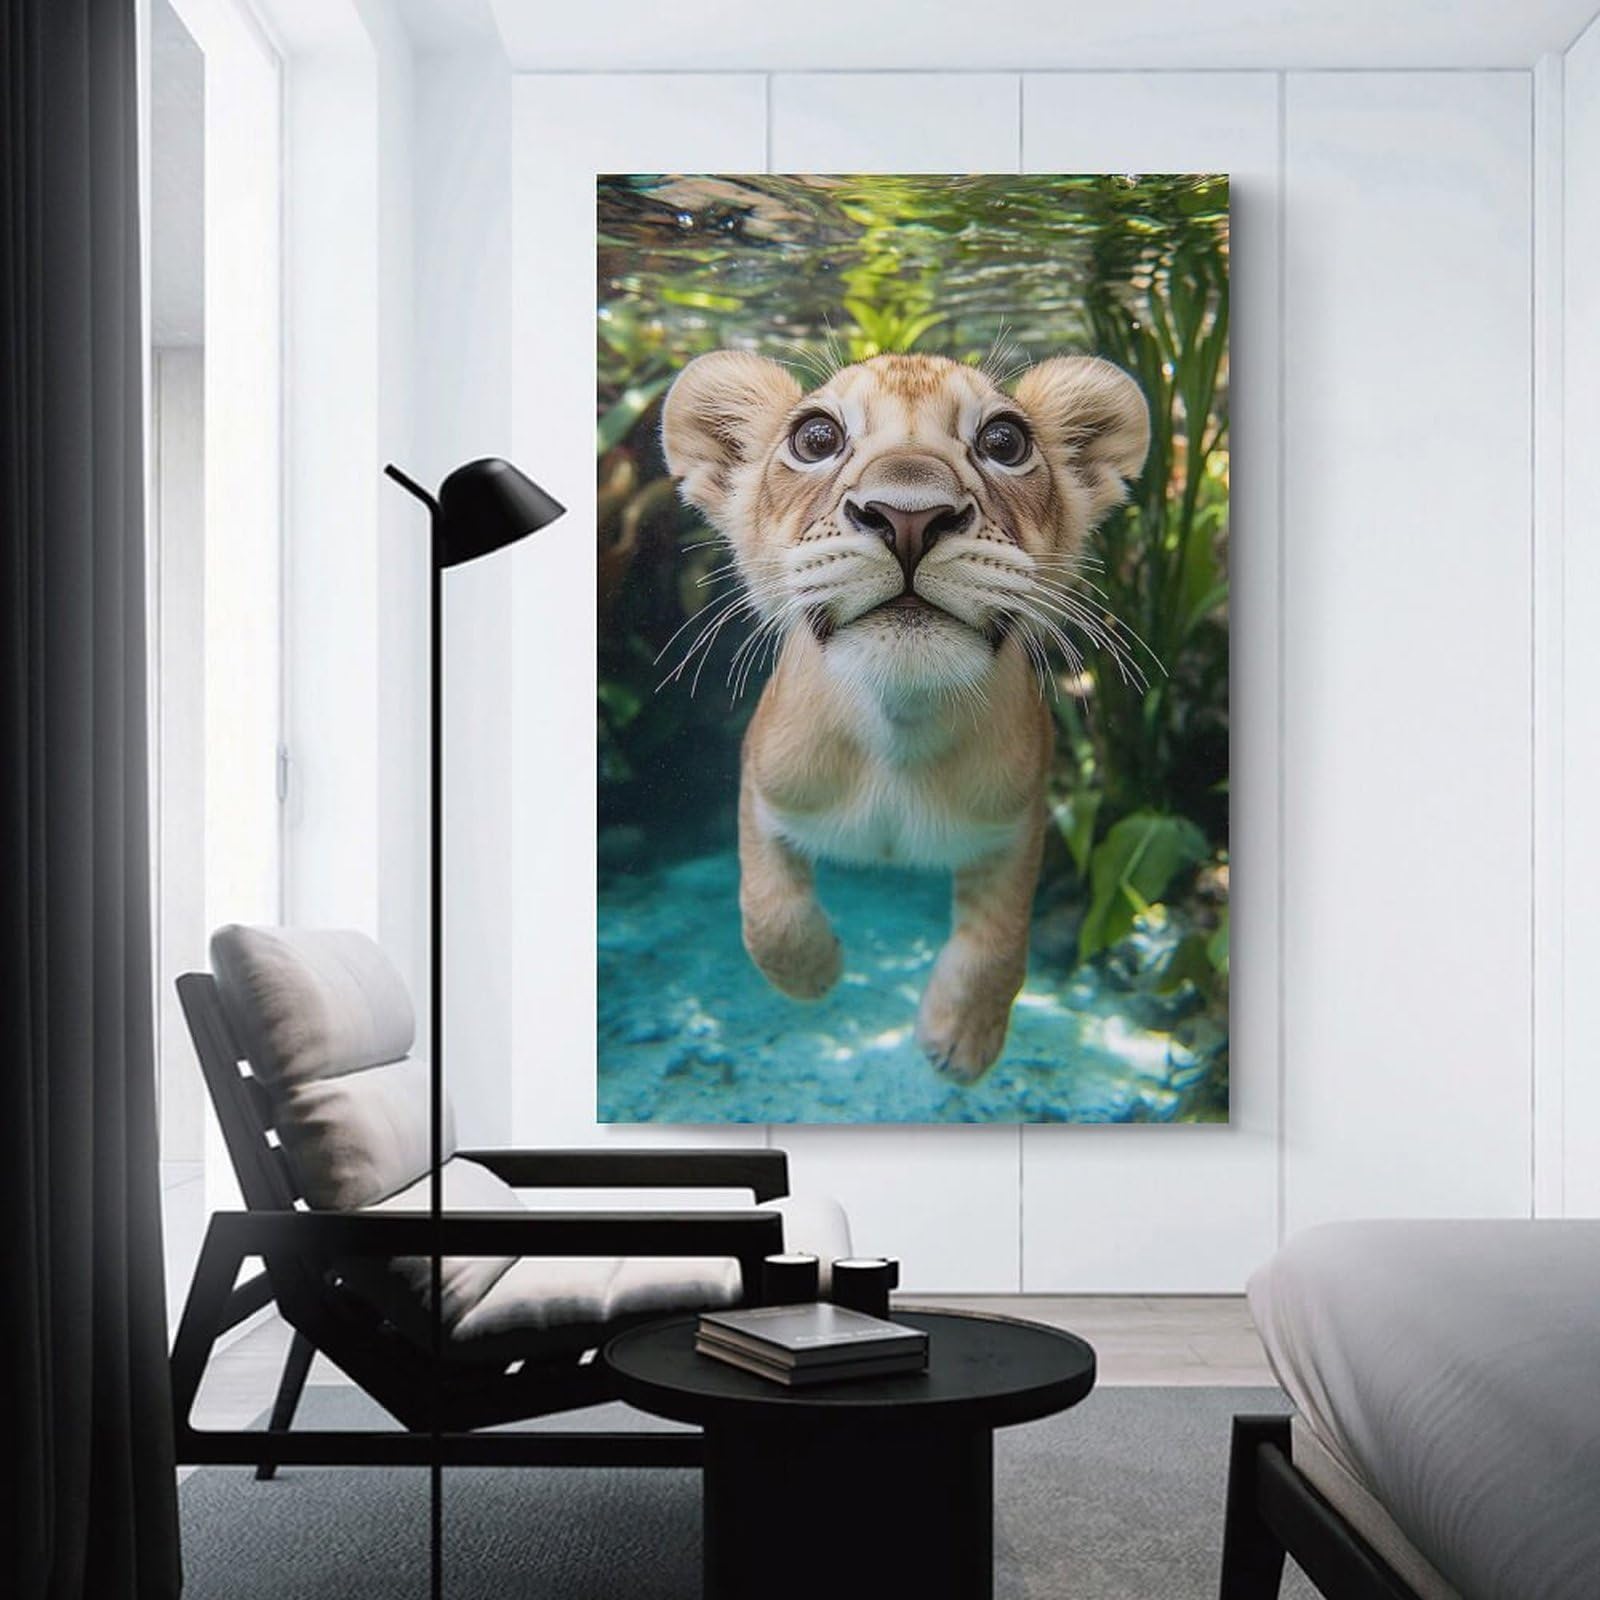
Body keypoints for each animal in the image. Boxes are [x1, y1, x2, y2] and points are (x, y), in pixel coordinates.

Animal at [661, 348, 1150, 1081]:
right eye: (816, 439)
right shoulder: (763, 787)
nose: (910, 518)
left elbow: (998, 940)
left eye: (1005, 442)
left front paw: (964, 1042)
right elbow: (767, 910)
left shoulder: (1019, 818)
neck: (901, 725)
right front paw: (815, 975)